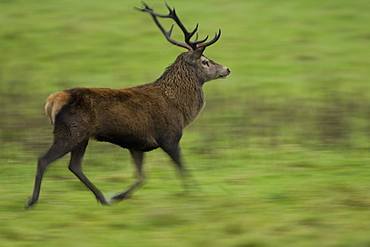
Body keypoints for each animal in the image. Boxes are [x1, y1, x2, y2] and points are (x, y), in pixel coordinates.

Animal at [25, 2, 228, 208]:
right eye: (205, 61)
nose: (226, 69)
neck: (180, 109)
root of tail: (53, 101)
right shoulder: (168, 137)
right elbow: (182, 168)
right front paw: (196, 193)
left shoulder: (137, 144)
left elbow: (142, 177)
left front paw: (118, 196)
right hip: (70, 131)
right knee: (43, 160)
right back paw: (32, 201)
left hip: (82, 137)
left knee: (74, 166)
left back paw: (102, 198)